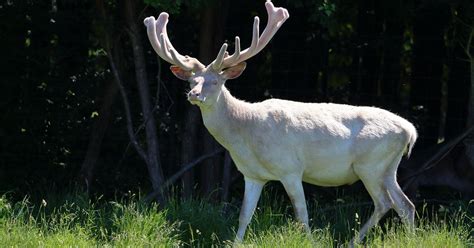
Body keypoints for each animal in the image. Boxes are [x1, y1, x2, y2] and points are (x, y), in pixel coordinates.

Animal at [143, 0, 416, 243]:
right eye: (192, 80)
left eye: (216, 81)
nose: (193, 94)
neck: (245, 136)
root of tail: (410, 131)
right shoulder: (251, 174)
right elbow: (244, 216)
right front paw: (236, 242)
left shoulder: (291, 168)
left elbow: (302, 215)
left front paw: (309, 242)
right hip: (388, 167)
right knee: (405, 204)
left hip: (370, 164)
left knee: (385, 202)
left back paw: (353, 241)